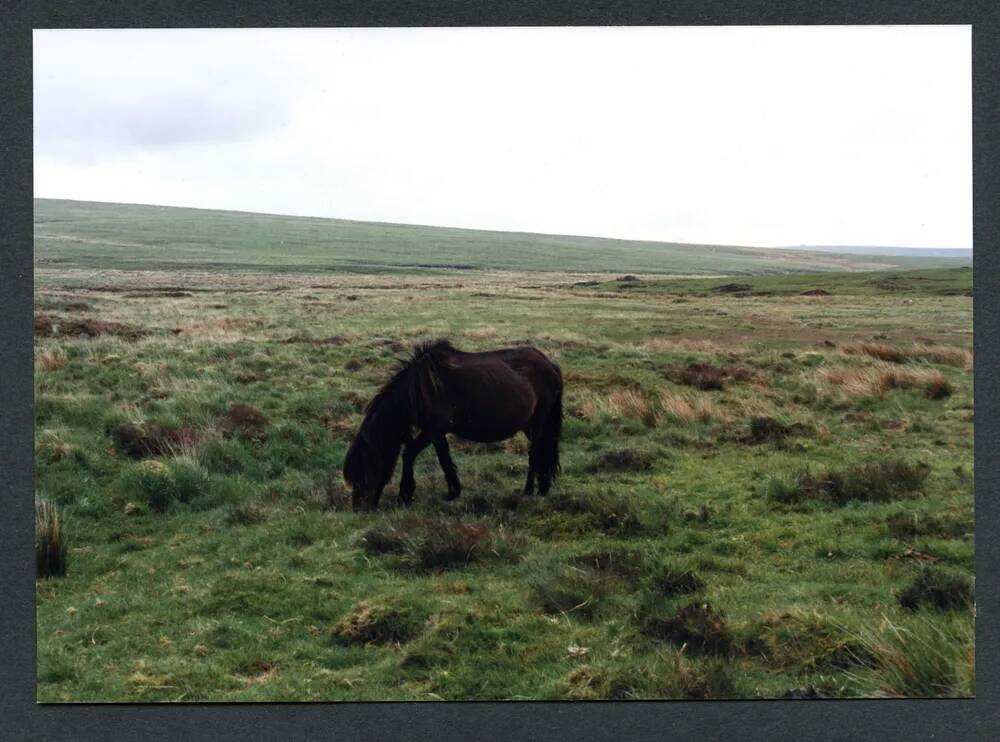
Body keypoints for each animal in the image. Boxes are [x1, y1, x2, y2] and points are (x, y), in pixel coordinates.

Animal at [344, 342, 564, 512]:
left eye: (364, 473)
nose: (360, 509)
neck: (420, 389)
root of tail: (549, 364)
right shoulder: (437, 433)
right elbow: (444, 459)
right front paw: (453, 491)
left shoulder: (433, 430)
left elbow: (410, 454)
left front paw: (405, 496)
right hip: (530, 425)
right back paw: (543, 488)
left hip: (538, 423)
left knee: (535, 454)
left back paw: (528, 491)